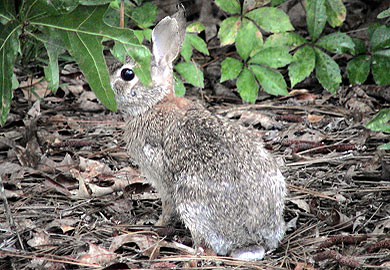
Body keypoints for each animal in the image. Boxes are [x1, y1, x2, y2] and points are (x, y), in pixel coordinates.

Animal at [108, 5, 288, 260]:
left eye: (127, 74)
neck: (153, 103)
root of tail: (250, 239)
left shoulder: (161, 176)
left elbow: (167, 204)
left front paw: (158, 223)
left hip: (191, 199)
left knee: (205, 248)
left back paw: (181, 247)